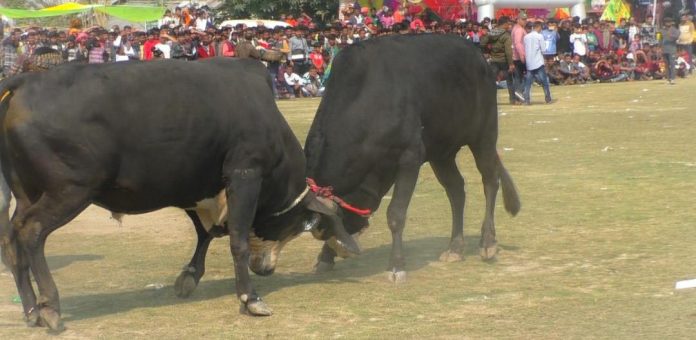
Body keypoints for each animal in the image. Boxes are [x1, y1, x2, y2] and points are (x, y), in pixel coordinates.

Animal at [0, 57, 358, 330]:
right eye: (298, 225)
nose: (266, 269)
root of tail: (25, 81)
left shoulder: (195, 187)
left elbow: (205, 233)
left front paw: (189, 275)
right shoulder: (245, 174)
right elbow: (237, 240)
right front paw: (250, 297)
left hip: (27, 192)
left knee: (12, 235)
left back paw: (31, 310)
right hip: (70, 190)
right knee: (31, 232)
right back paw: (49, 306)